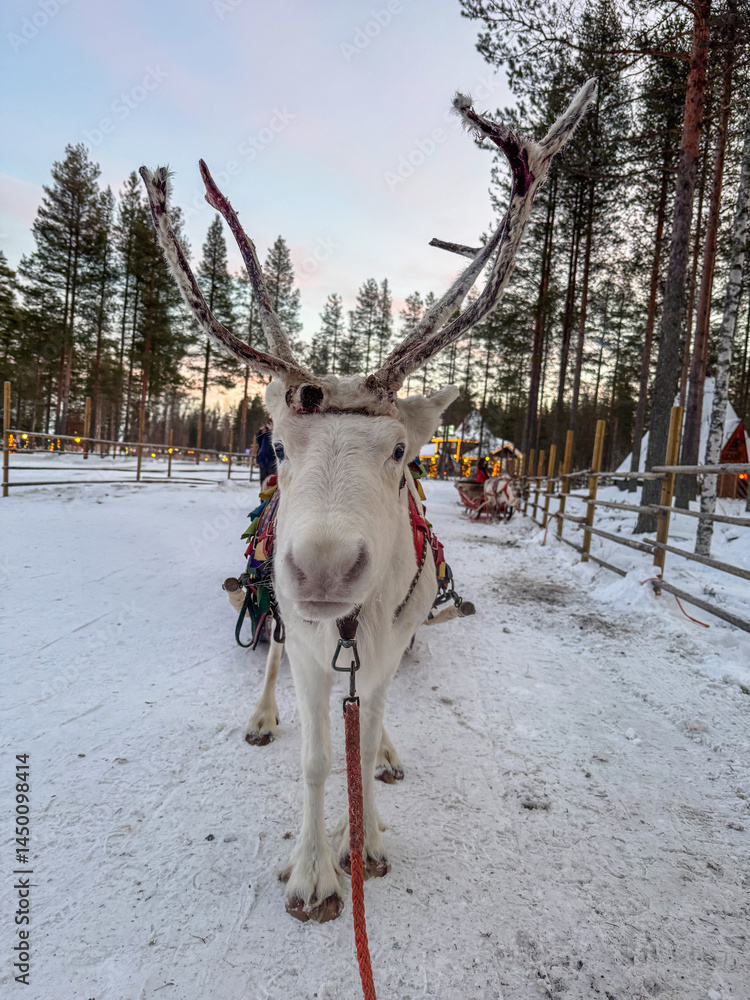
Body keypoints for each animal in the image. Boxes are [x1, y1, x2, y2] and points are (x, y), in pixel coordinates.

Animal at [140, 78, 596, 924]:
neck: (356, 629)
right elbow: (320, 758)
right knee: (270, 649)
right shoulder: (313, 651)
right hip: (274, 603)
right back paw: (261, 717)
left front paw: (370, 838)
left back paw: (382, 754)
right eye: (283, 446)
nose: (323, 569)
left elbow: (370, 725)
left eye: (399, 455)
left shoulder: (384, 651)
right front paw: (313, 871)